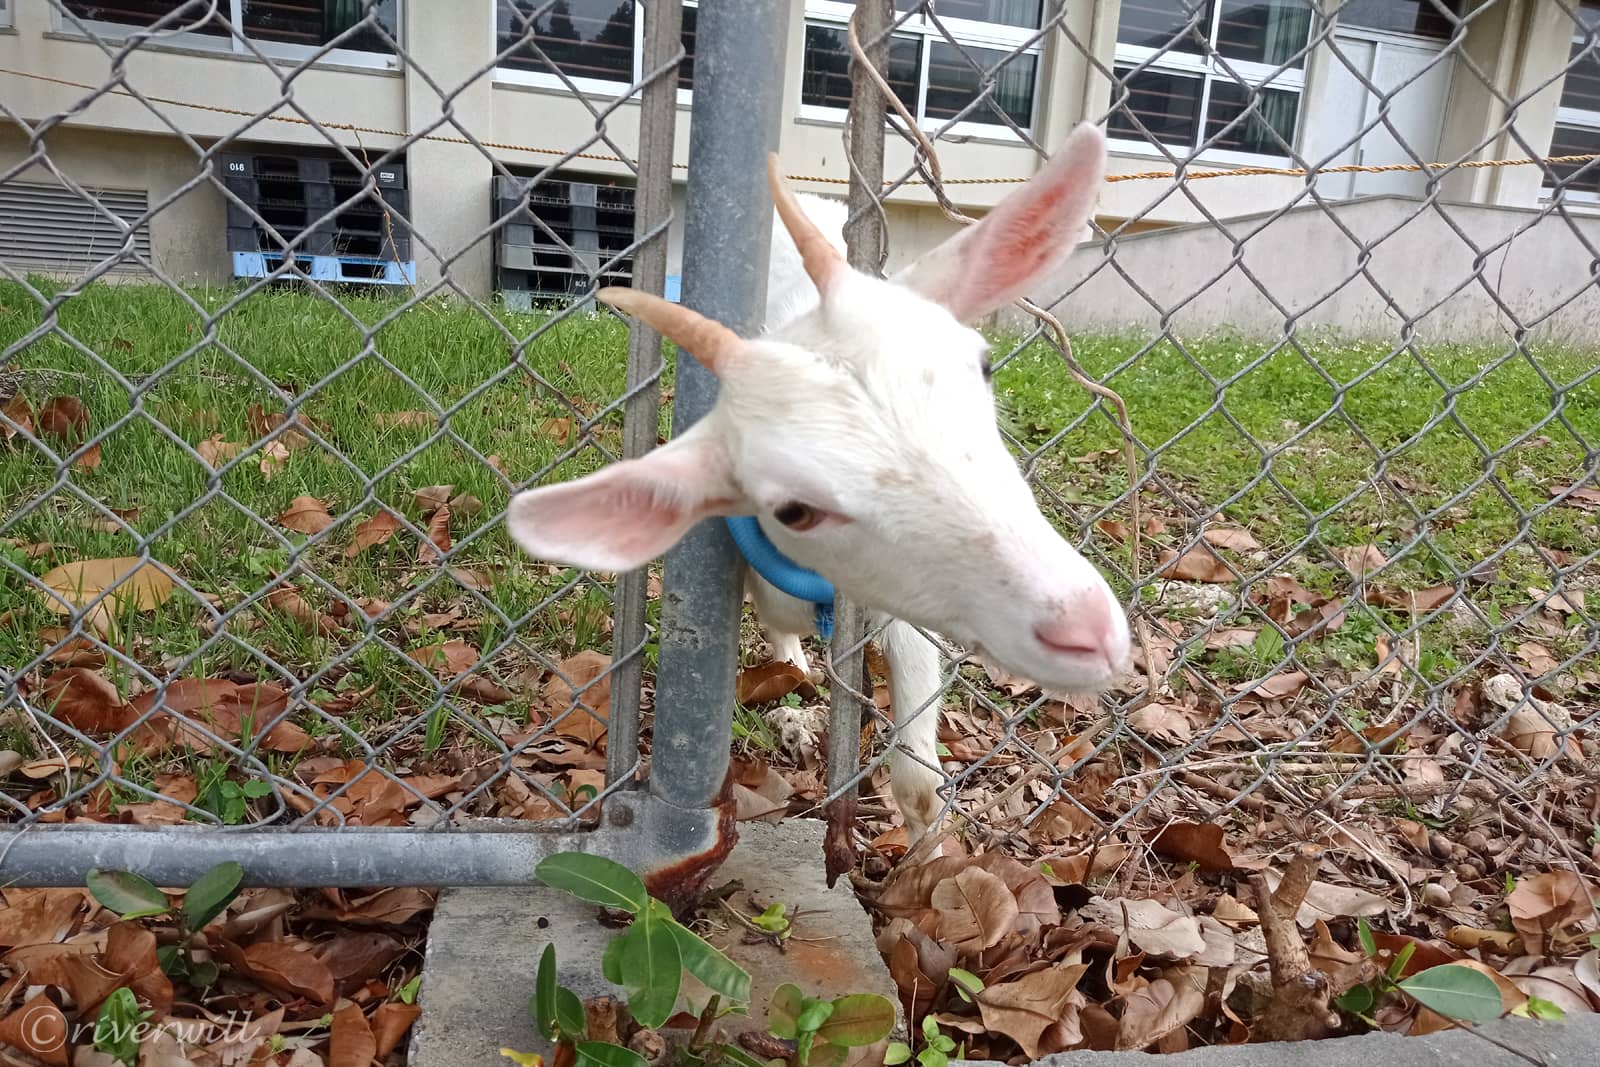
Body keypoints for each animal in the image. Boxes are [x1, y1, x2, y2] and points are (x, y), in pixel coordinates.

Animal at [508, 123, 1126, 844]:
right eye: (795, 510)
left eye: (984, 365)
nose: (1089, 629)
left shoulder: (908, 614)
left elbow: (919, 780)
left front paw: (928, 855)